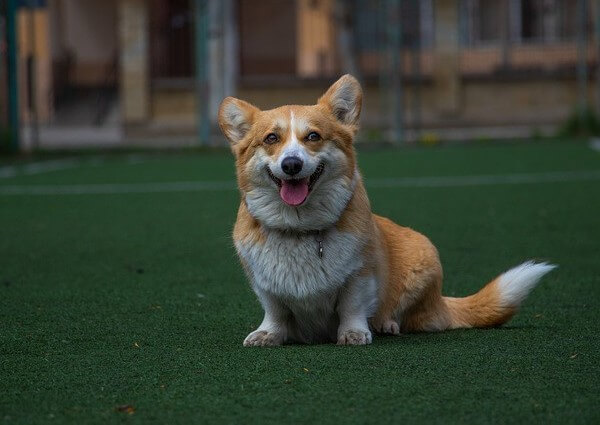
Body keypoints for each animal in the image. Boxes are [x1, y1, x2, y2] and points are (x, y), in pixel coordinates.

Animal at [218, 73, 556, 344]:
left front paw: (354, 334)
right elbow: (276, 311)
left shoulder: (360, 274)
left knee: (409, 316)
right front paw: (268, 334)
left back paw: (386, 324)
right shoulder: (265, 285)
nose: (291, 165)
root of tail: (442, 303)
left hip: (423, 260)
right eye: (271, 138)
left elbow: (352, 306)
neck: (300, 227)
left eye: (313, 136)